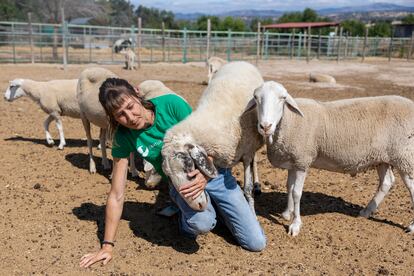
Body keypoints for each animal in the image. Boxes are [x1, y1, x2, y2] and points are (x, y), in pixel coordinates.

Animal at [160, 61, 264, 212]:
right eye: (168, 175)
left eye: (188, 166)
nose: (198, 207)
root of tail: (239, 62)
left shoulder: (247, 152)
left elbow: (248, 189)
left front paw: (252, 211)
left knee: (254, 161)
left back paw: (257, 185)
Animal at [249, 81, 414, 236]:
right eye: (256, 98)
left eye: (283, 98)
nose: (265, 126)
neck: (289, 120)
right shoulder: (293, 160)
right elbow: (289, 186)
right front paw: (287, 213)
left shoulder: (302, 160)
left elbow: (296, 192)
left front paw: (295, 224)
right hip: (382, 158)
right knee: (387, 182)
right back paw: (366, 212)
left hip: (405, 156)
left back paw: (411, 227)